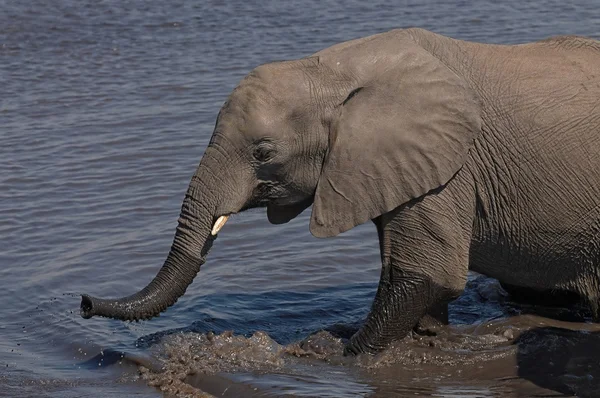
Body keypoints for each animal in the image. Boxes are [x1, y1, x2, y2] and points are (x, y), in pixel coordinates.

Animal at [79, 29, 600, 356]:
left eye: (263, 153)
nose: (83, 302)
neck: (330, 70)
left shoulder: (450, 167)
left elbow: (426, 275)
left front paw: (331, 350)